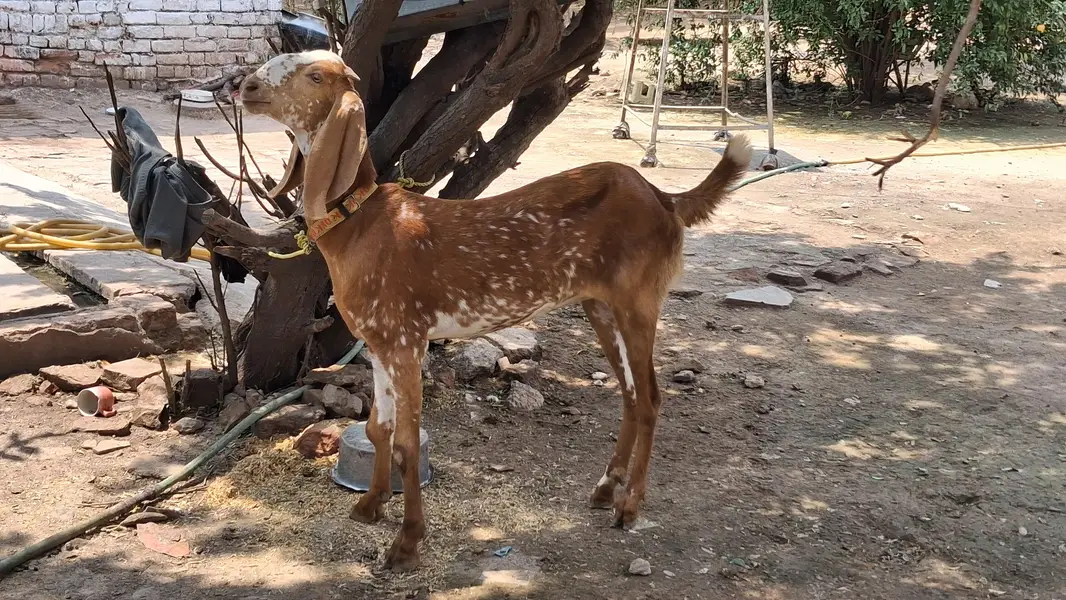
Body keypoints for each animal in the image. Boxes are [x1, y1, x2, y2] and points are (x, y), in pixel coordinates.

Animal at [239, 50, 752, 571]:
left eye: (314, 76)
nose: (246, 86)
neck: (360, 225)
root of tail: (664, 198)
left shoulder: (406, 338)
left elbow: (406, 443)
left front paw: (407, 543)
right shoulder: (379, 341)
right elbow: (377, 428)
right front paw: (370, 506)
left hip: (639, 299)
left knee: (649, 397)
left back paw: (629, 505)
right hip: (600, 305)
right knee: (629, 394)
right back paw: (606, 488)